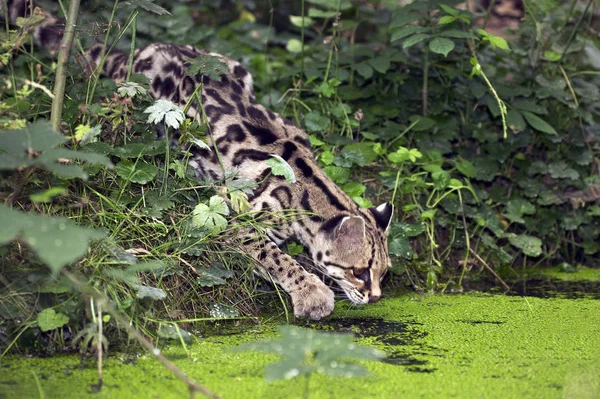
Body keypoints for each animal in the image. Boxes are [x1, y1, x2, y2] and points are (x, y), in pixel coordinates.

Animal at [2, 0, 396, 318]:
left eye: (384, 272)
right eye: (359, 271)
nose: (375, 297)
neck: (309, 185)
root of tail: (141, 50)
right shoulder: (236, 223)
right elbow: (277, 258)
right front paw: (312, 291)